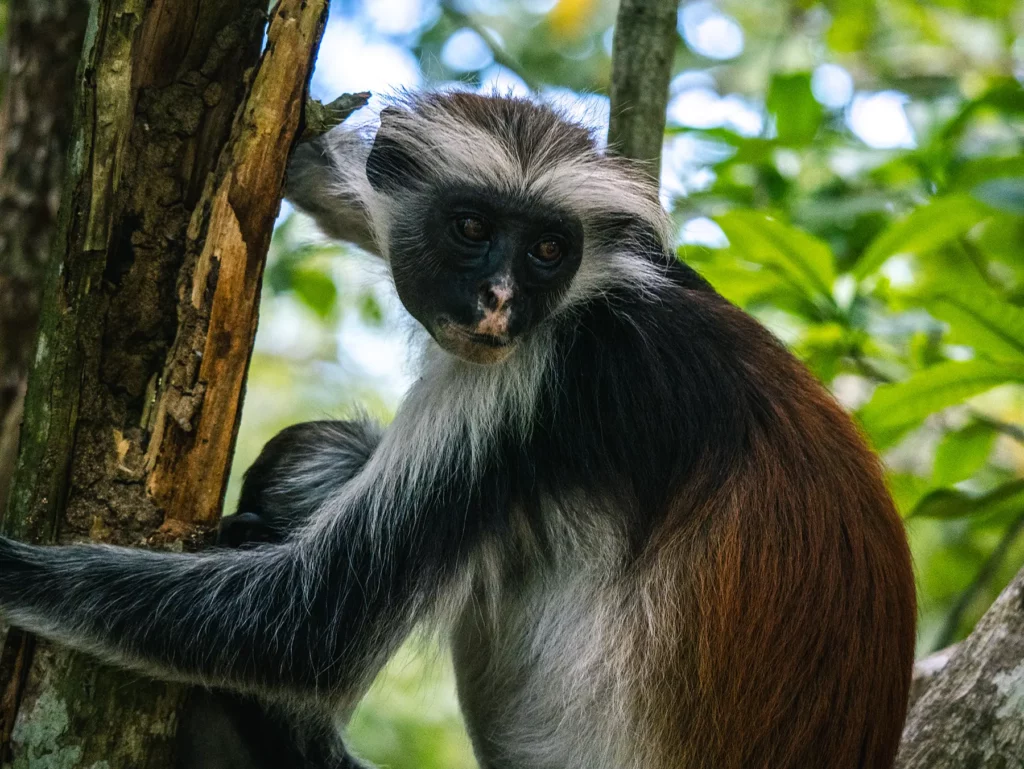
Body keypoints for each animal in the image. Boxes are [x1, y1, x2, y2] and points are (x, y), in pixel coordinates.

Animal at [0, 92, 915, 769]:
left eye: (547, 248)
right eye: (472, 227)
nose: (501, 299)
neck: (593, 308)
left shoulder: (527, 381)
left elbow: (304, 631)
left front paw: (11, 570)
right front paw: (301, 148)